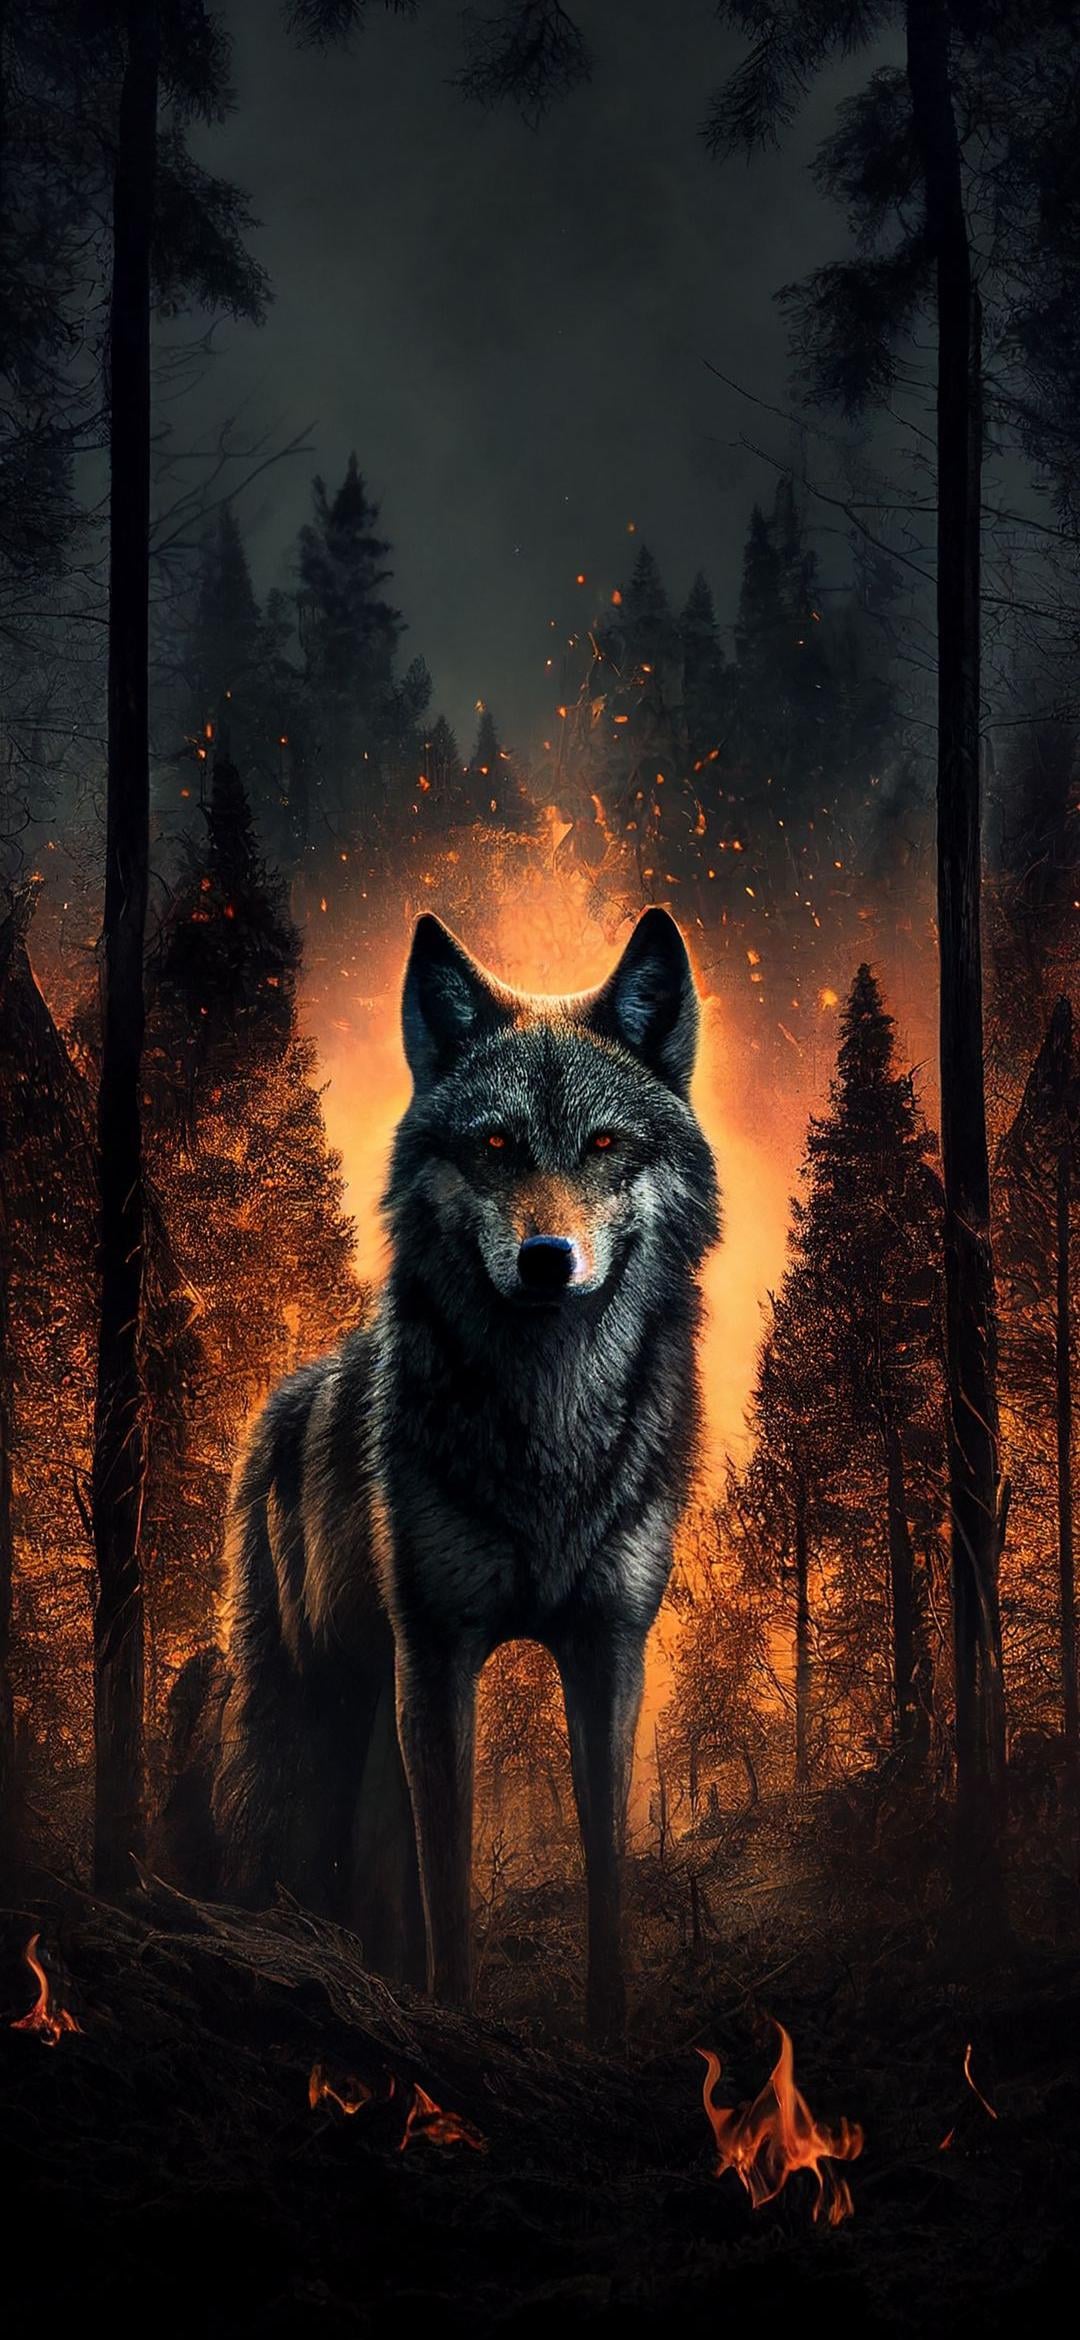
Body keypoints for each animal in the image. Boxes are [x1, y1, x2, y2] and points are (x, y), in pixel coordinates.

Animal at [169, 906, 720, 2040]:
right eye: (496, 1144)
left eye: (605, 1144)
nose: (549, 1258)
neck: (548, 1428)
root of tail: (278, 1402)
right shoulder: (441, 1652)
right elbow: (450, 1877)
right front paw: (454, 2018)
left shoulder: (608, 1649)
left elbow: (604, 1867)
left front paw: (607, 2031)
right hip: (315, 1697)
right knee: (278, 1825)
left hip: (382, 1698)